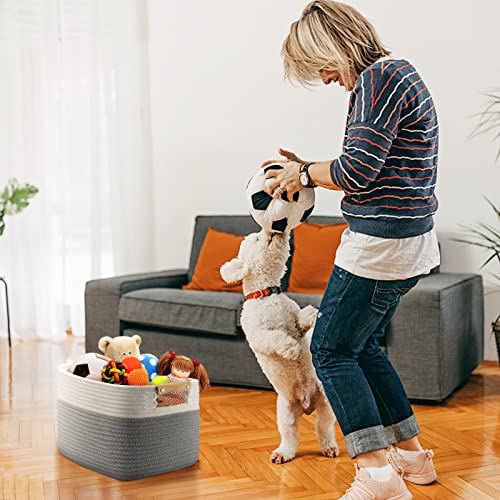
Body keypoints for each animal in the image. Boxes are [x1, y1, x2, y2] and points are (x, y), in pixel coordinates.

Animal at [220, 230, 340, 464]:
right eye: (257, 239)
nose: (272, 231)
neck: (267, 295)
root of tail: (306, 405)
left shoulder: (294, 317)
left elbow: (302, 318)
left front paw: (313, 316)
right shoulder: (259, 337)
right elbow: (275, 337)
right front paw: (291, 348)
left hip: (326, 404)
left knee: (323, 428)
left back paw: (329, 448)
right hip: (285, 413)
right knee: (290, 436)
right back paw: (282, 453)